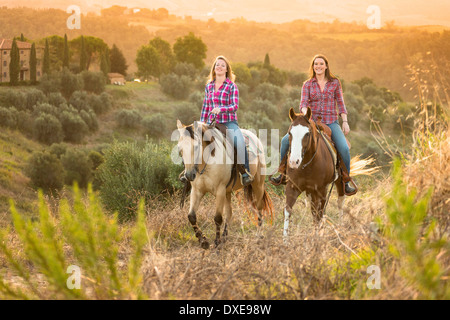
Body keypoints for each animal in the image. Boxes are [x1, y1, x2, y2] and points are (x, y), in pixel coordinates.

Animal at [176, 119, 274, 249]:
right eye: (180, 149)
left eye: (196, 147)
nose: (189, 175)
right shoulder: (197, 191)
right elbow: (191, 216)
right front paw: (203, 241)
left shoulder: (220, 190)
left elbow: (217, 218)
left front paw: (216, 243)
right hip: (228, 191)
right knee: (229, 213)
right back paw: (225, 237)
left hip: (258, 185)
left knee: (259, 209)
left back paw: (259, 236)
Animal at [284, 107, 374, 238]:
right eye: (290, 133)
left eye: (307, 134)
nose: (294, 162)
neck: (307, 165)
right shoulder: (293, 187)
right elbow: (288, 211)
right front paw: (285, 240)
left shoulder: (322, 190)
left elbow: (319, 214)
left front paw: (317, 238)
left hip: (339, 183)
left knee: (340, 203)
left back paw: (340, 228)